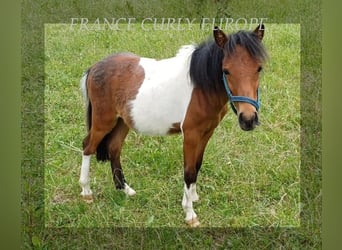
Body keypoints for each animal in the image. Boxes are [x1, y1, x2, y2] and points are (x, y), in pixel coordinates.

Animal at [79, 23, 268, 227]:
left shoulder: (207, 132)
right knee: (88, 147)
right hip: (103, 121)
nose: (248, 119)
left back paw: (125, 189)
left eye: (258, 68)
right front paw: (190, 214)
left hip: (122, 122)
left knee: (114, 148)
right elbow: (189, 171)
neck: (201, 86)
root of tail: (94, 67)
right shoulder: (191, 134)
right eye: (226, 70)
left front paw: (192, 197)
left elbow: (197, 165)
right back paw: (86, 192)